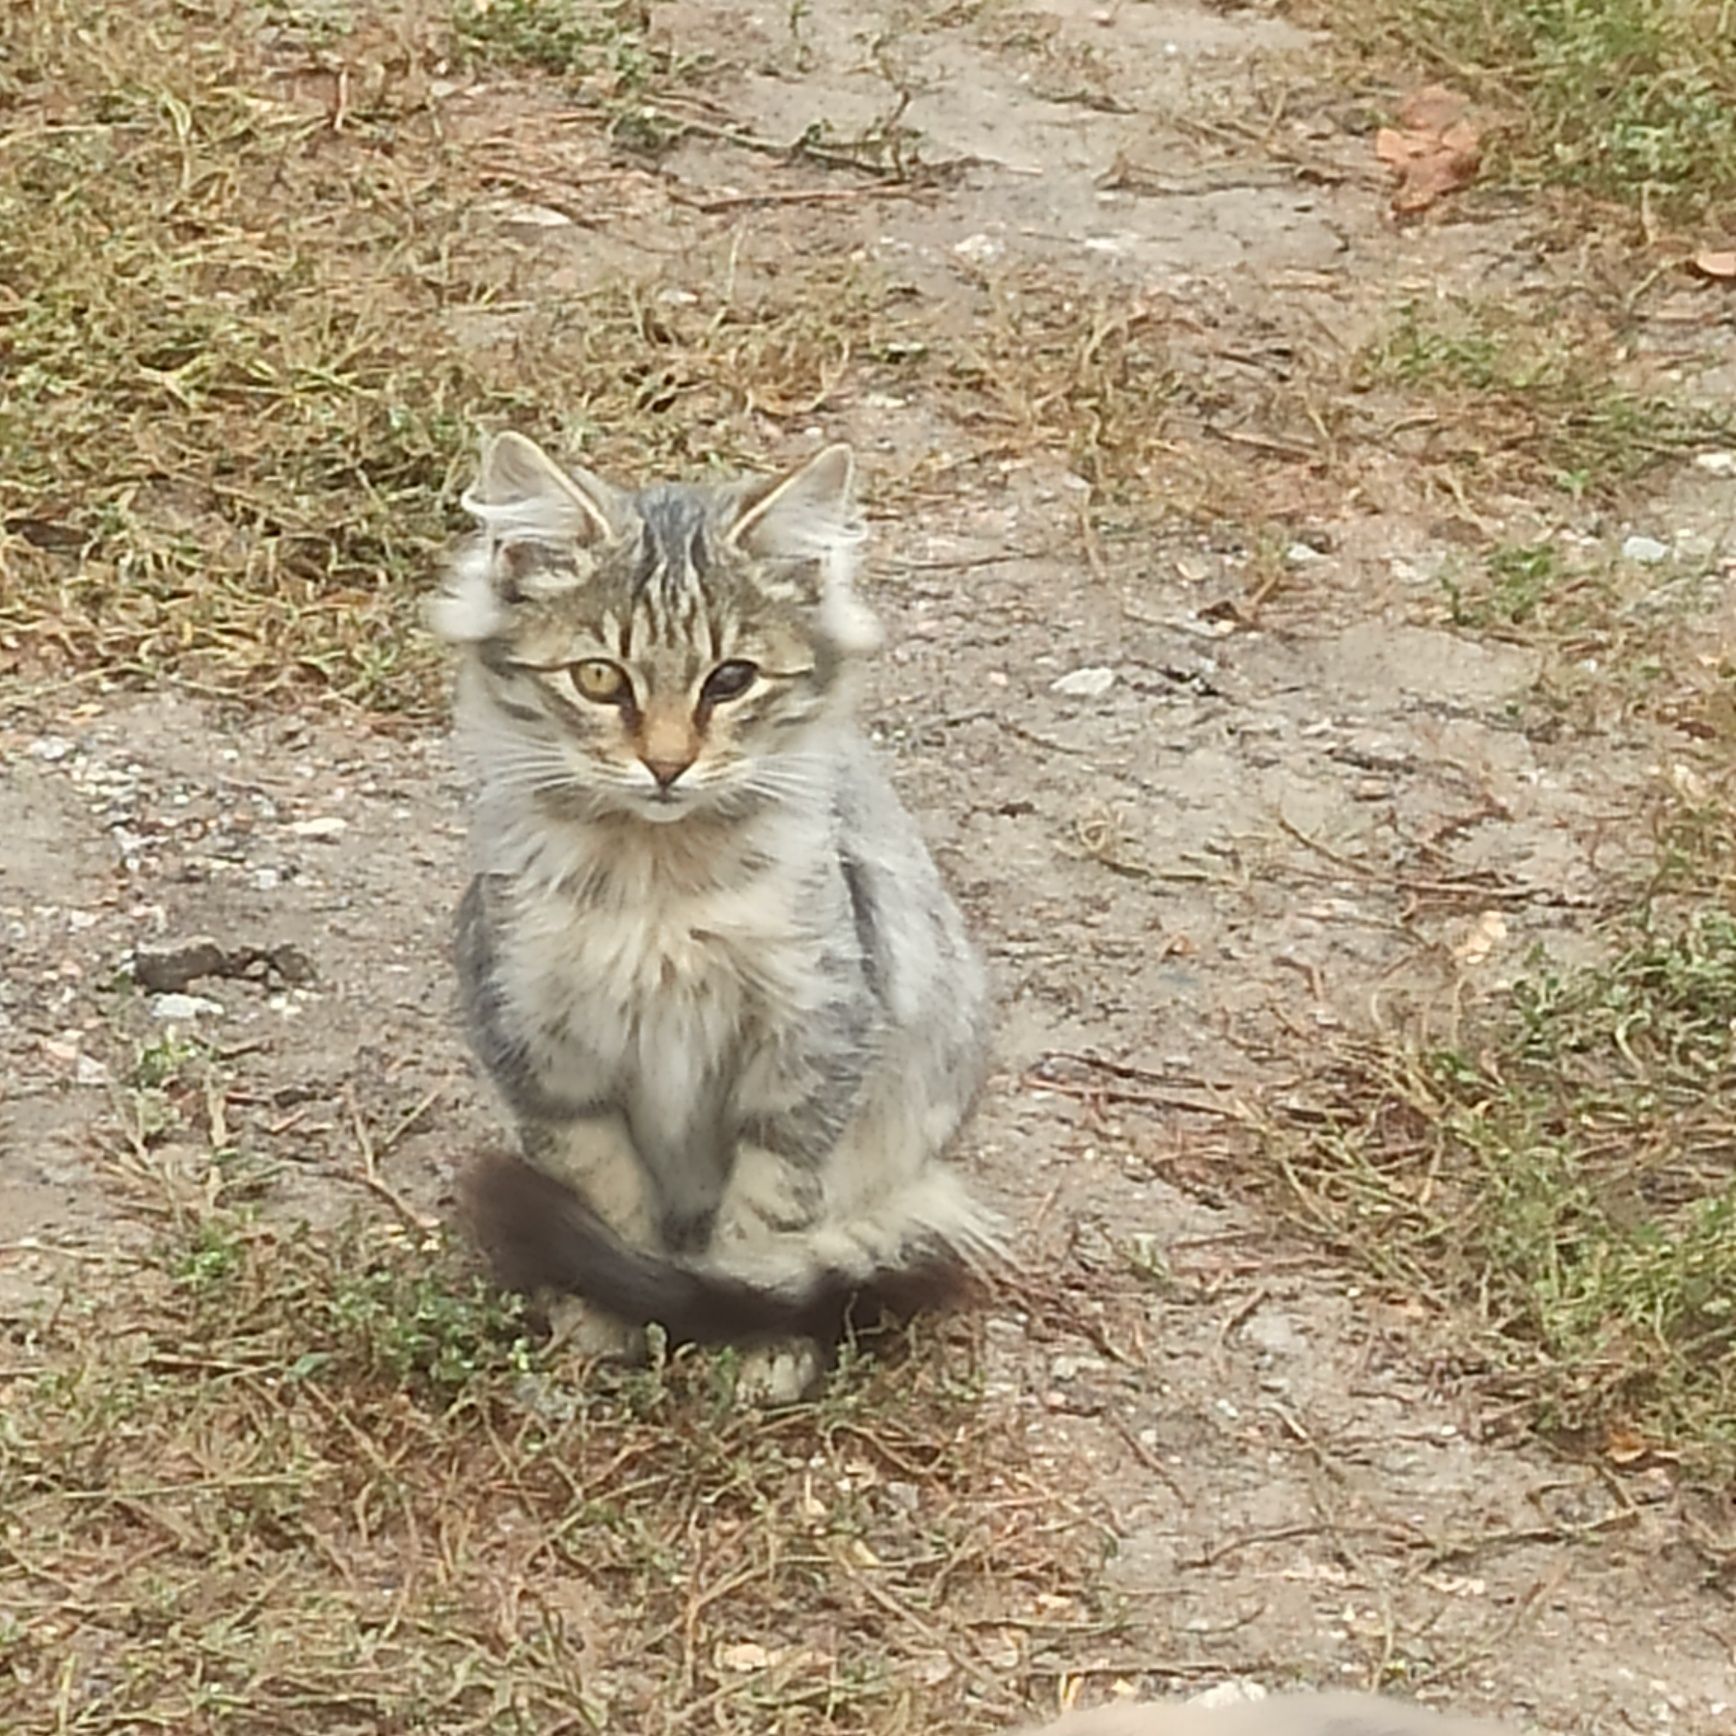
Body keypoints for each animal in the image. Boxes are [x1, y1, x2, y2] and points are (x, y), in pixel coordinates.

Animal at [434, 427, 1006, 1402]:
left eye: (730, 680)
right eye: (600, 679)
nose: (667, 766)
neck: (658, 890)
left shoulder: (811, 1040)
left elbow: (768, 1217)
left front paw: (753, 1335)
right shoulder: (539, 1040)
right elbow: (602, 1191)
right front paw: (610, 1311)